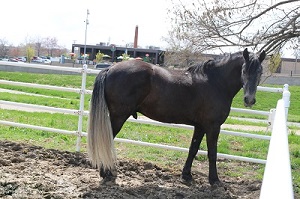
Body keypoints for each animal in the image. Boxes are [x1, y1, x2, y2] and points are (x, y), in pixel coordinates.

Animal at [86, 48, 264, 185]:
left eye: (260, 71)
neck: (215, 82)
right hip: (118, 117)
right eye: (244, 70)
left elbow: (193, 149)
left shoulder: (200, 126)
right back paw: (107, 173)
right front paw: (214, 180)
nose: (249, 100)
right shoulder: (213, 127)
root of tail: (110, 69)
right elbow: (212, 153)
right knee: (107, 139)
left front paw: (186, 176)